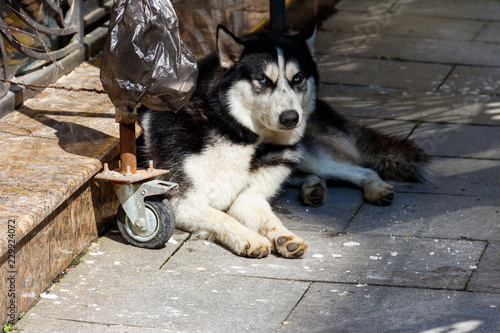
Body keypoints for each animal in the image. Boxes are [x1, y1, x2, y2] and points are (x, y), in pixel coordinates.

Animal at [139, 24, 432, 256]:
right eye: (262, 80)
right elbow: (222, 217)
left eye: (297, 78)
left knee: (360, 169)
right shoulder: (182, 201)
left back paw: (371, 187)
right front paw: (250, 238)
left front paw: (282, 236)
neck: (238, 133)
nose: (291, 117)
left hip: (310, 154)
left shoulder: (249, 197)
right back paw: (312, 187)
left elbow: (266, 217)